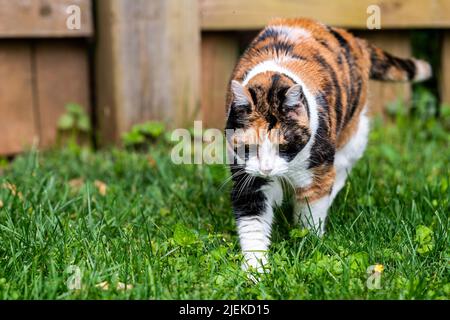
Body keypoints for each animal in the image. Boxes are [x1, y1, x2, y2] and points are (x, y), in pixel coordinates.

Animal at [225, 18, 432, 272]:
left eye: (284, 146)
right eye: (250, 147)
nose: (267, 169)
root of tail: (351, 37)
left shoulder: (317, 170)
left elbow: (310, 213)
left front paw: (309, 247)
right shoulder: (247, 175)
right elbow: (253, 224)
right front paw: (255, 272)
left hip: (354, 135)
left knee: (340, 171)